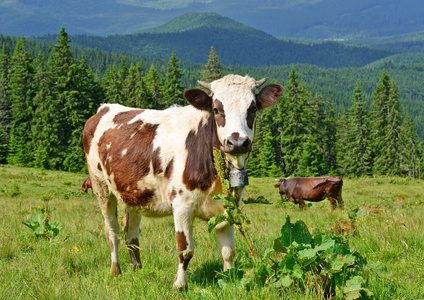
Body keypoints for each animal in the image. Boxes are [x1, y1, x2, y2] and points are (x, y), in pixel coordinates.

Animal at [81, 74, 284, 290]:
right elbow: (185, 250)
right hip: (101, 186)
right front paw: (179, 285)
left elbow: (228, 251)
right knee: (112, 231)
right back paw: (116, 271)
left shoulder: (228, 207)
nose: (237, 143)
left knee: (131, 232)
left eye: (252, 108)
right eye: (216, 109)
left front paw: (230, 280)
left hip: (135, 192)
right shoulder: (181, 205)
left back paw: (137, 269)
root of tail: (105, 107)